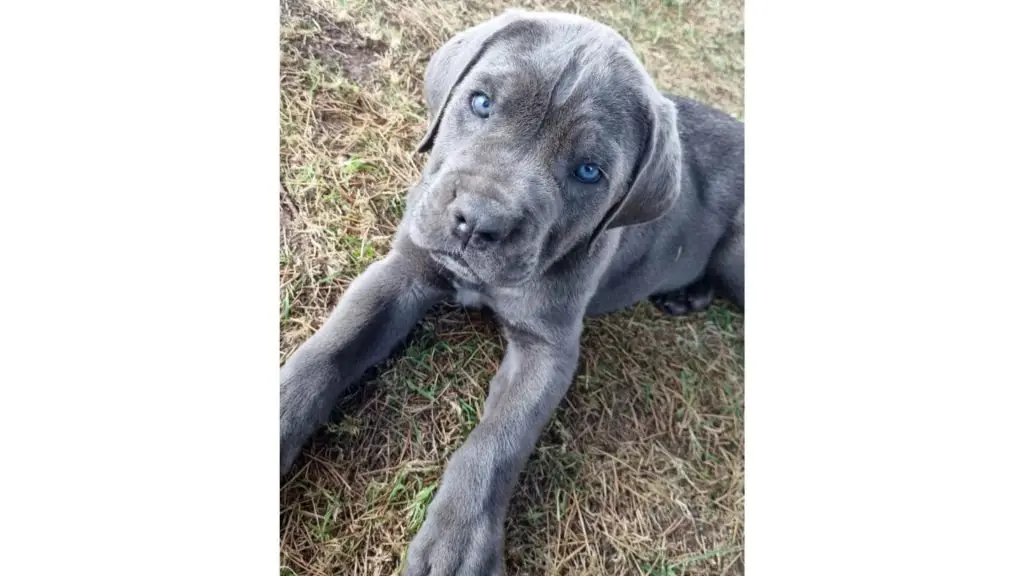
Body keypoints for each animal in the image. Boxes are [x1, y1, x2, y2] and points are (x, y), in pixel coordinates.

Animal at [280, 10, 745, 573]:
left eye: (589, 171)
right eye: (481, 102)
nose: (478, 221)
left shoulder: (549, 348)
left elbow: (501, 438)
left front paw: (459, 543)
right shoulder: (404, 270)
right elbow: (331, 348)